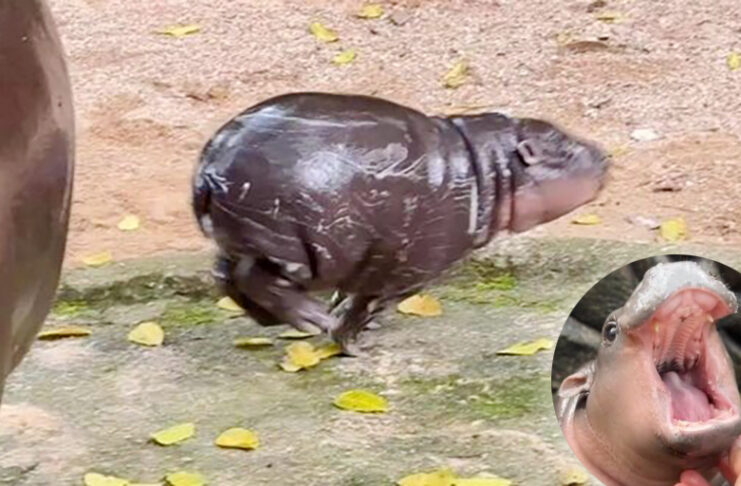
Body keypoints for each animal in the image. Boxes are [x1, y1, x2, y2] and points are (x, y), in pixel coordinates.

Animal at [193, 93, 607, 354]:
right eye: (564, 148)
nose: (604, 154)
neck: (490, 168)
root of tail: (211, 164)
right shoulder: (409, 271)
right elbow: (367, 306)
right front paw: (354, 343)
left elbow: (351, 297)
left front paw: (348, 321)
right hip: (289, 246)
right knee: (251, 277)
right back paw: (311, 319)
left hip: (245, 237)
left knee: (225, 275)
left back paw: (277, 321)